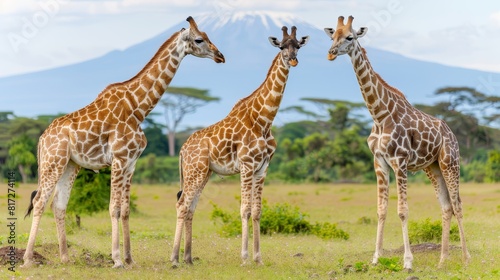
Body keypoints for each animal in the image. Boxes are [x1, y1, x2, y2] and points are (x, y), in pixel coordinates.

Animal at [22, 15, 225, 270]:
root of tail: (42, 138)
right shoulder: (118, 159)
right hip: (53, 161)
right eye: (199, 39)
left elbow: (126, 209)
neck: (139, 108)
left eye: (208, 36)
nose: (220, 56)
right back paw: (28, 258)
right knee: (39, 201)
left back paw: (65, 258)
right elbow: (113, 208)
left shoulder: (131, 163)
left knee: (58, 205)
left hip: (70, 165)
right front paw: (117, 259)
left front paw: (129, 258)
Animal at [170, 25, 306, 266]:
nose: (293, 59)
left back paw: (188, 258)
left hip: (203, 173)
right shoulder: (246, 164)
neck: (263, 120)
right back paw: (175, 258)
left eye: (298, 45)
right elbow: (244, 209)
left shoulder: (262, 168)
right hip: (195, 171)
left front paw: (258, 258)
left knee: (191, 207)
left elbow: (258, 210)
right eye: (281, 46)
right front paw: (244, 257)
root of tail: (182, 150)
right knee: (182, 204)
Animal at [322, 16, 470, 270]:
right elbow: (381, 210)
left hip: (450, 162)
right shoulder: (379, 162)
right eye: (333, 36)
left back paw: (466, 258)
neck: (379, 115)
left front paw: (408, 261)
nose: (331, 53)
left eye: (350, 37)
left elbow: (403, 211)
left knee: (457, 204)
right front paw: (375, 258)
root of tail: (451, 133)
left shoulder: (399, 161)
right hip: (432, 167)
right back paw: (442, 260)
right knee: (446, 206)